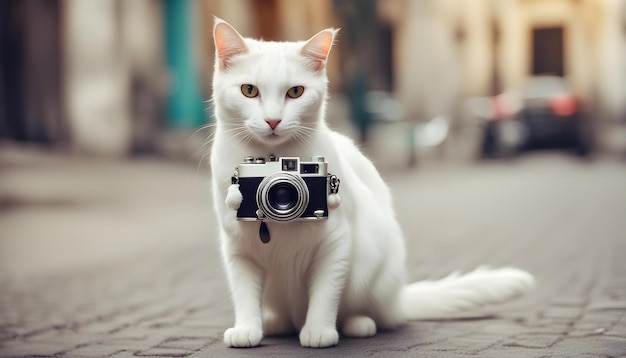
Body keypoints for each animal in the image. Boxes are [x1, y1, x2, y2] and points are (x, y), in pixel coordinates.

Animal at [210, 18, 532, 348]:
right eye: (249, 91)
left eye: (295, 92)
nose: (273, 121)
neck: (273, 161)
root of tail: (398, 298)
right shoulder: (238, 250)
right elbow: (244, 295)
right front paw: (247, 328)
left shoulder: (337, 243)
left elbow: (325, 294)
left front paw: (319, 330)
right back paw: (276, 323)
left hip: (374, 263)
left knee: (370, 311)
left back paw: (357, 323)